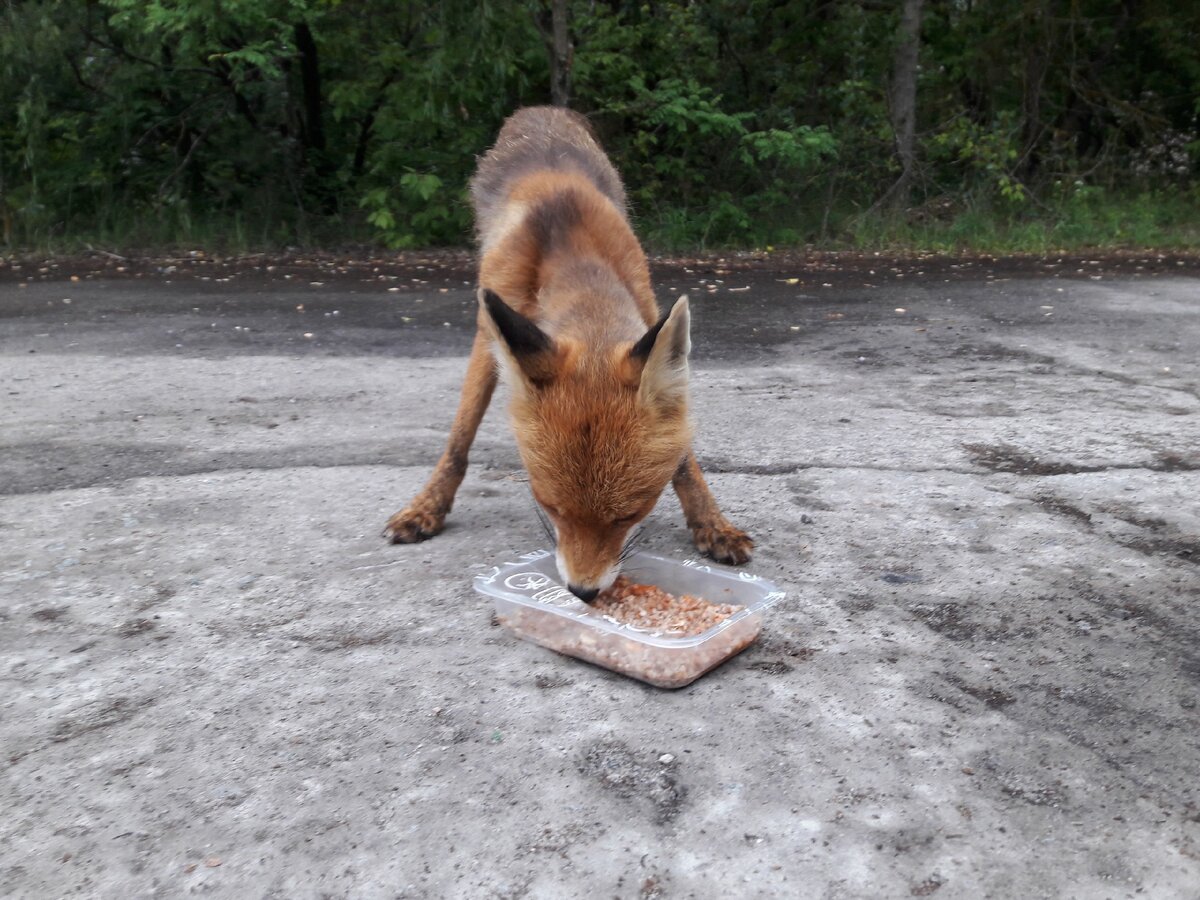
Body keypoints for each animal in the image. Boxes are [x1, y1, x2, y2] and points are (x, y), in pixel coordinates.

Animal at [386, 109, 748, 602]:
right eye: (550, 506)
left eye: (630, 513)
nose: (583, 592)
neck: (573, 251)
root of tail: (542, 109)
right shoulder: (486, 335)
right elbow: (460, 438)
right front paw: (428, 506)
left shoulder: (648, 308)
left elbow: (685, 463)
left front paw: (713, 524)